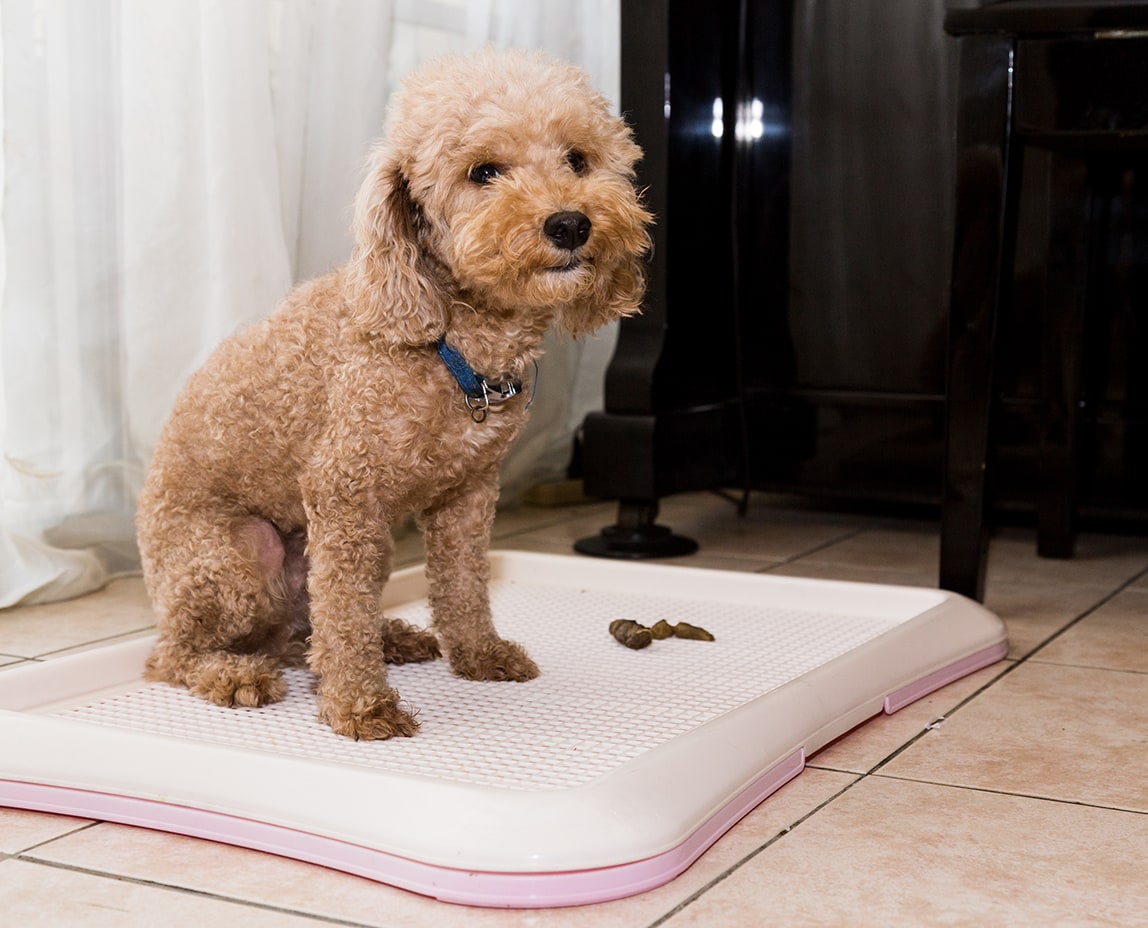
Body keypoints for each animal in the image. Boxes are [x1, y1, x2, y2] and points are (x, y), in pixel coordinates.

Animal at [134, 48, 652, 739]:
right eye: (483, 172)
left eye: (577, 159)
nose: (569, 223)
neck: (452, 344)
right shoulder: (343, 495)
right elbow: (345, 617)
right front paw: (360, 705)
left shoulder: (468, 496)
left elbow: (463, 586)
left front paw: (480, 655)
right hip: (242, 555)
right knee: (174, 654)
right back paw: (233, 674)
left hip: (333, 553)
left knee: (302, 629)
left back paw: (388, 640)